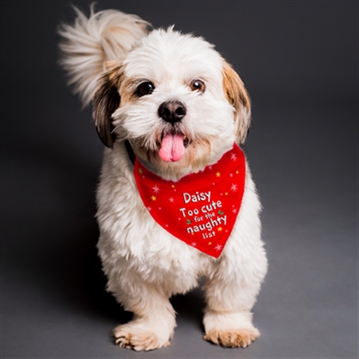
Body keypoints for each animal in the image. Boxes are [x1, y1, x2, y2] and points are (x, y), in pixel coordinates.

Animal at [58, 6, 268, 352]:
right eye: (145, 88)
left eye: (197, 85)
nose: (172, 108)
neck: (179, 183)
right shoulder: (125, 259)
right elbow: (149, 303)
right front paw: (148, 330)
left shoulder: (238, 252)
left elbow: (229, 298)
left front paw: (230, 326)